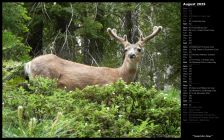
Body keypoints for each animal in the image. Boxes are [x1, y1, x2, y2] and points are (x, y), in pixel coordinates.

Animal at [23, 25, 162, 90]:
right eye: (125, 49)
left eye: (139, 49)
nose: (131, 55)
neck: (119, 75)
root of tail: (29, 63)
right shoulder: (104, 87)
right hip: (44, 78)